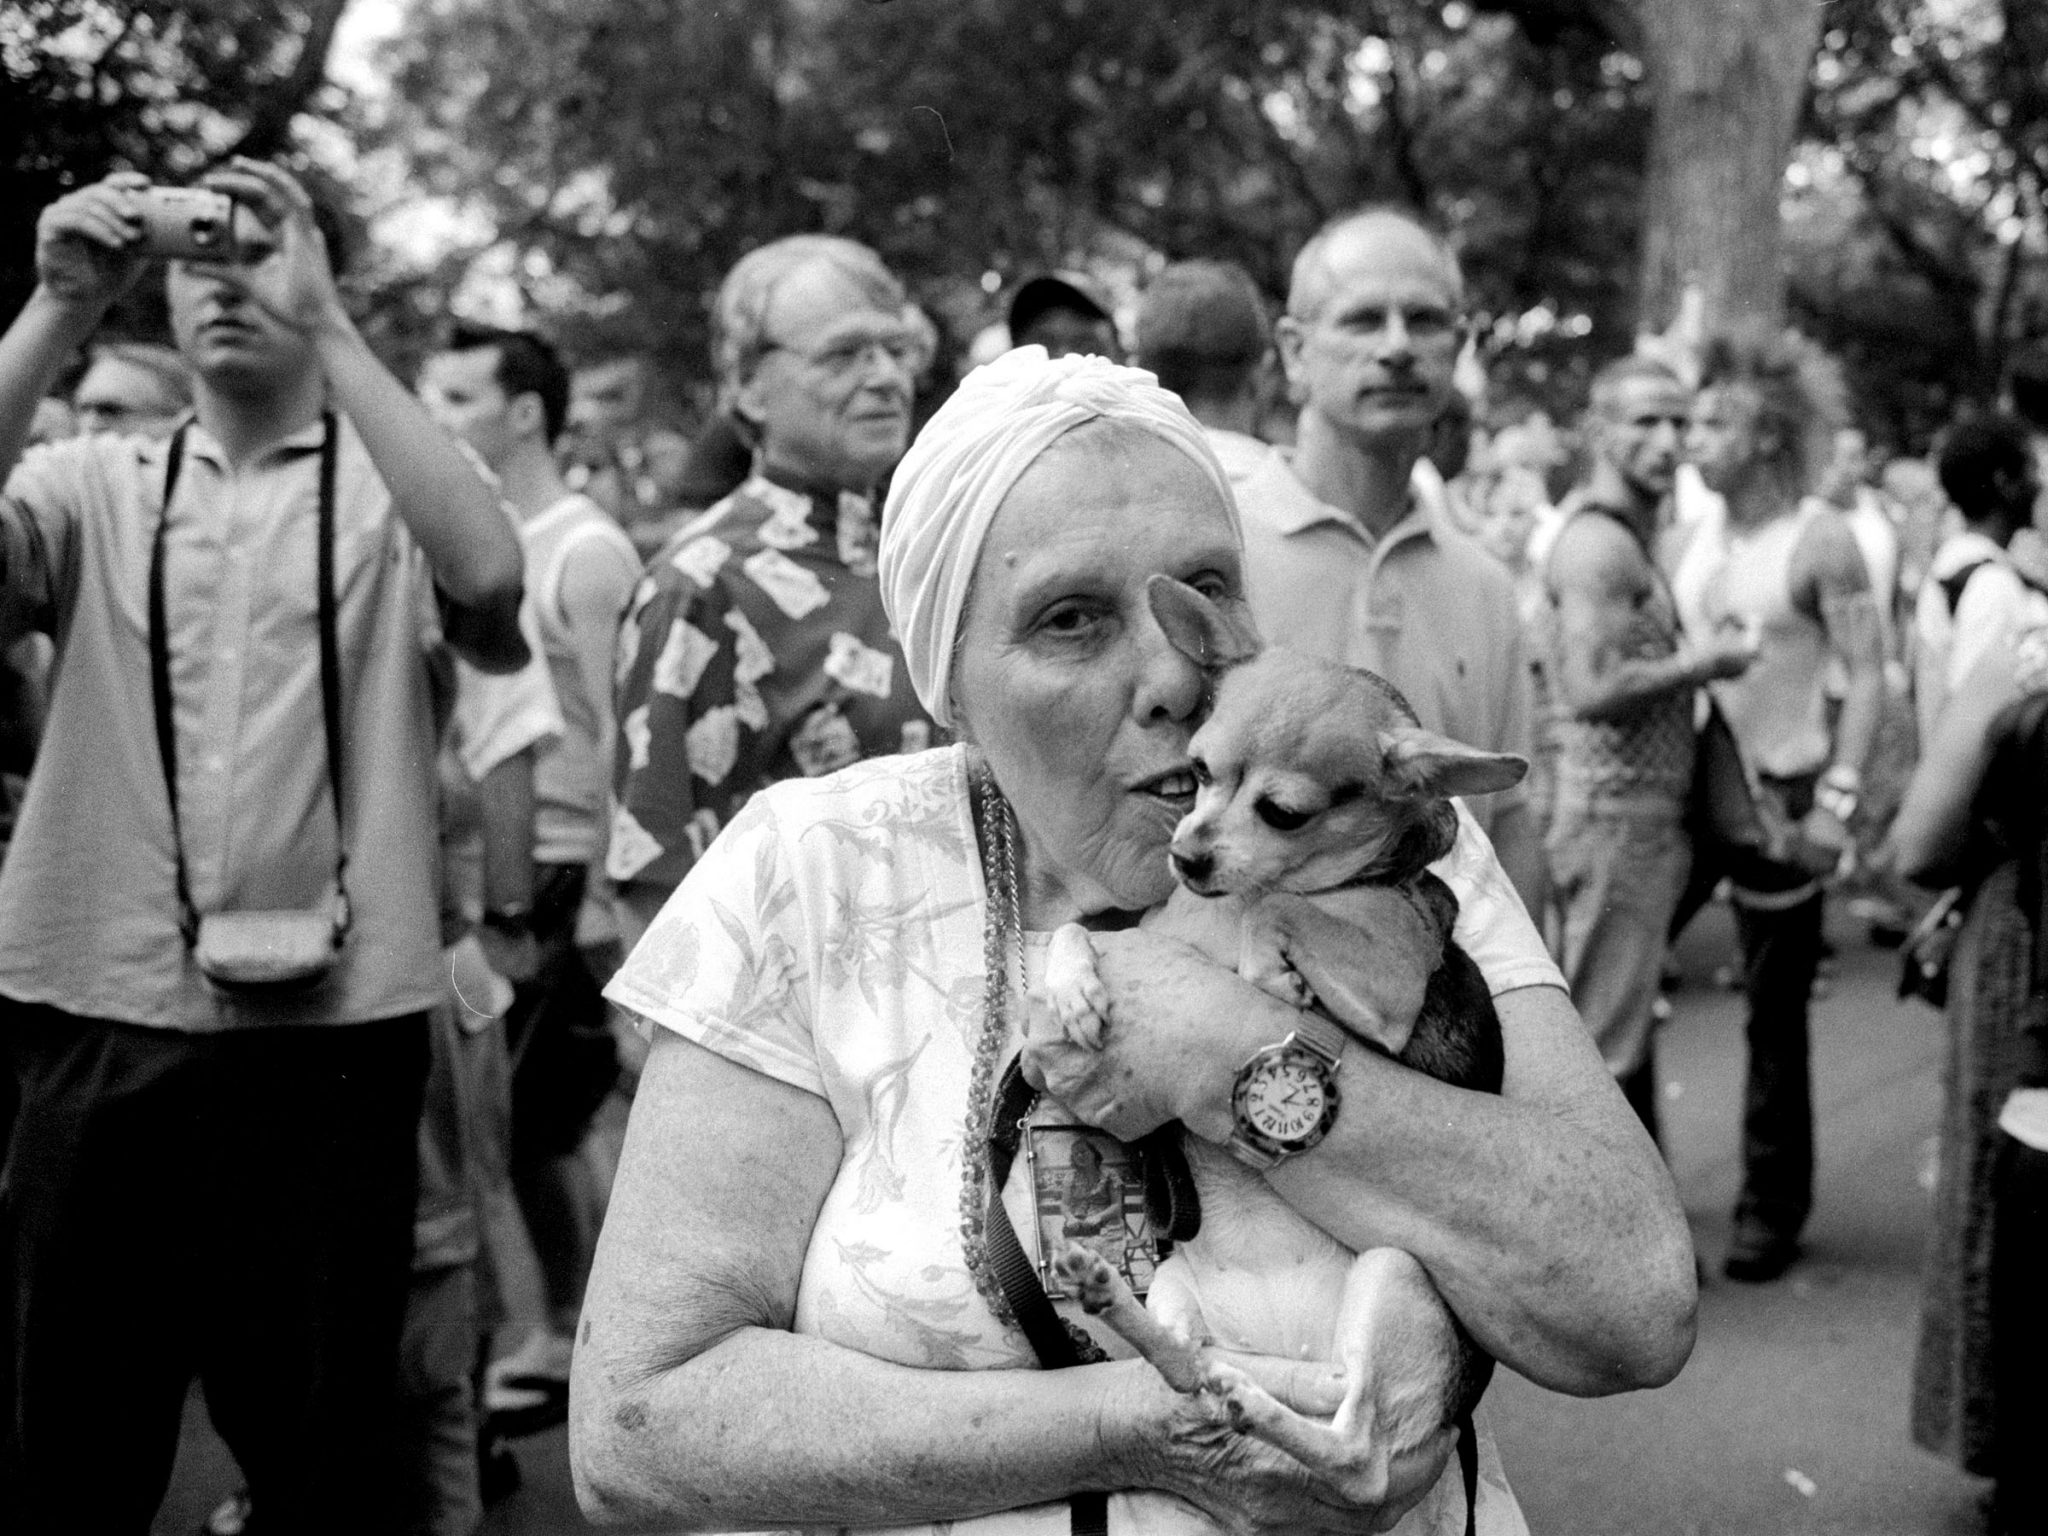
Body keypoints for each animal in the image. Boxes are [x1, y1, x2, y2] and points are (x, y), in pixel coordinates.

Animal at [1048, 573, 1531, 1531]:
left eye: (1284, 813)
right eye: (1196, 774)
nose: (1187, 857)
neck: (1216, 908)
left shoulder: (1391, 985)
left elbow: (1281, 912)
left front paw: (1269, 966)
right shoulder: (1144, 926)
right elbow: (1070, 930)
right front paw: (1073, 987)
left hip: (1392, 1273)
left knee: (1356, 1450)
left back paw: (1260, 1405)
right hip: (1180, 1285)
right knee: (1204, 1367)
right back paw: (1133, 1315)